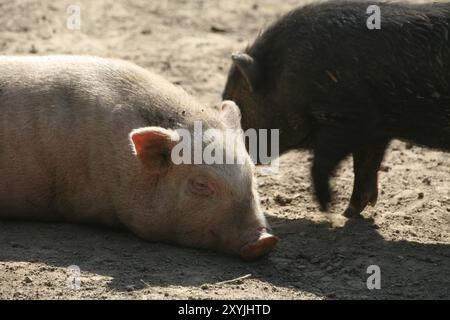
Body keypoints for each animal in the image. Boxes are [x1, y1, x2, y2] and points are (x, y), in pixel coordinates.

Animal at [223, 0, 450, 218]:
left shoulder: (348, 118)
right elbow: (365, 166)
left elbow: (322, 164)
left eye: (236, 109)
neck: (287, 78)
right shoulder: (375, 129)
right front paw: (349, 213)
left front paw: (329, 210)